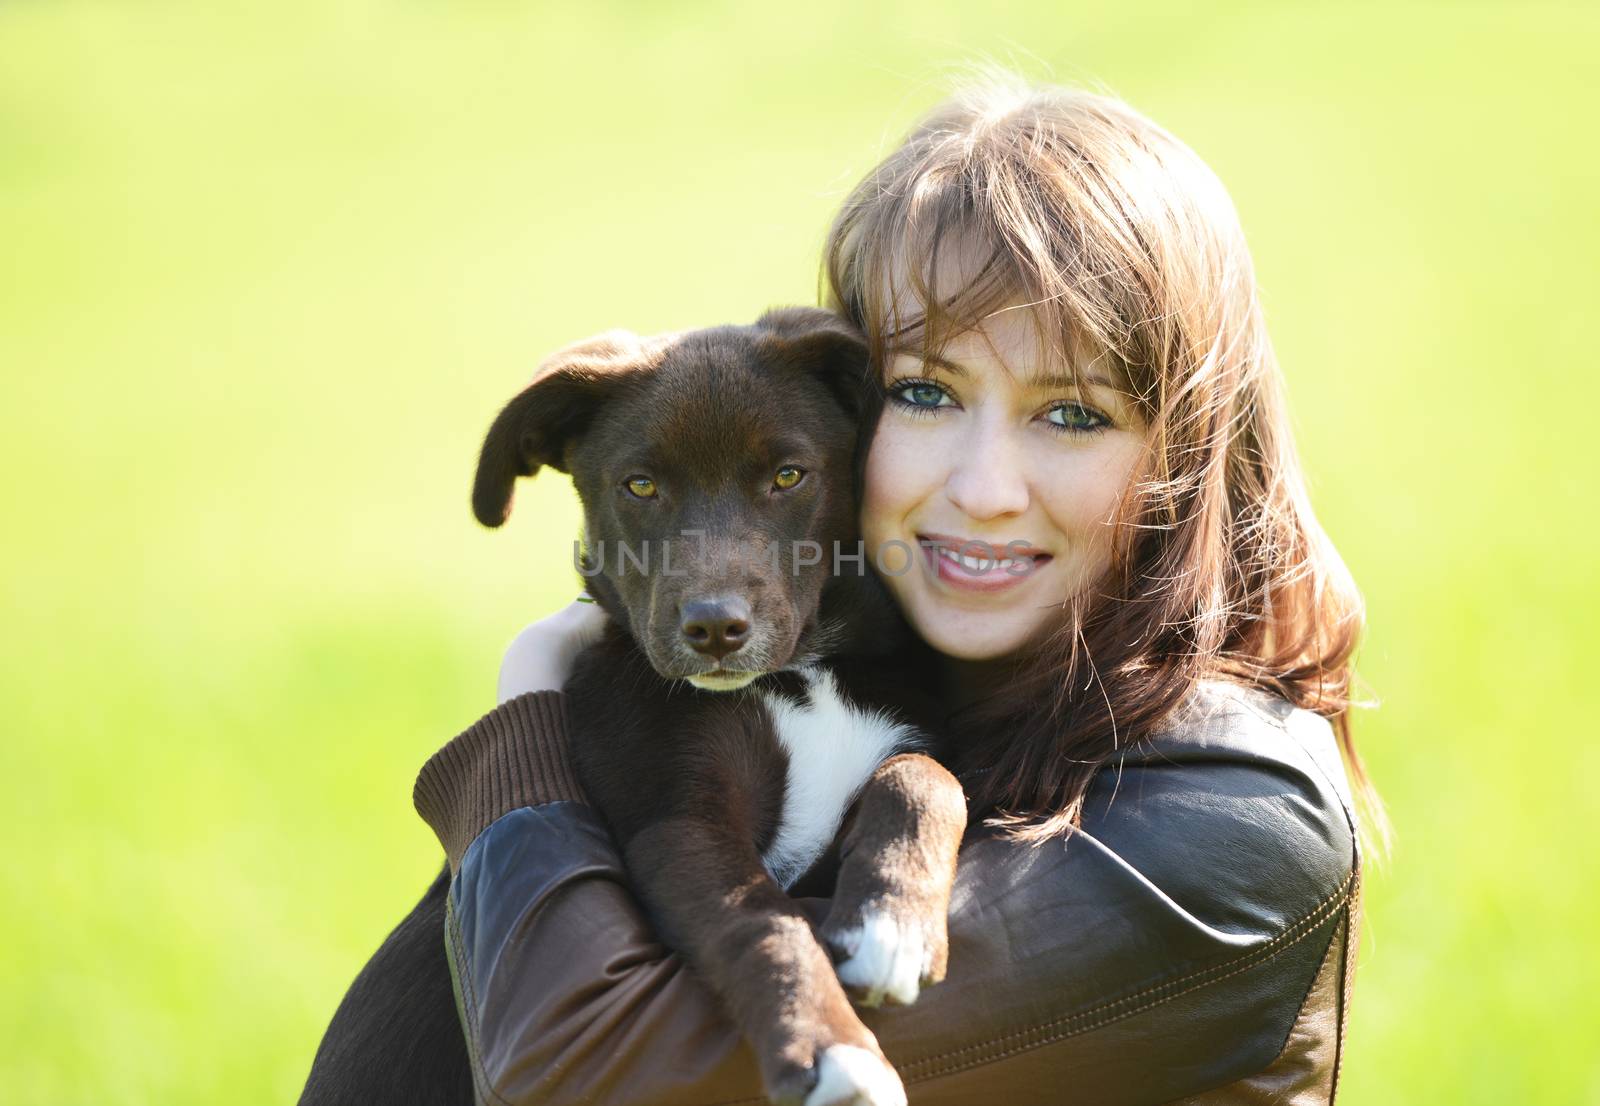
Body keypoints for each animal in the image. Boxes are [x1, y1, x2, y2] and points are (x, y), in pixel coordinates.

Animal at [467, 305, 966, 1106]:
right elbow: (761, 924)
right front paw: (833, 1051)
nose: (714, 629)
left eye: (788, 476)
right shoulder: (676, 819)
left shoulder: (904, 733)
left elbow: (927, 780)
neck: (798, 675)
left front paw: (892, 921)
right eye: (640, 486)